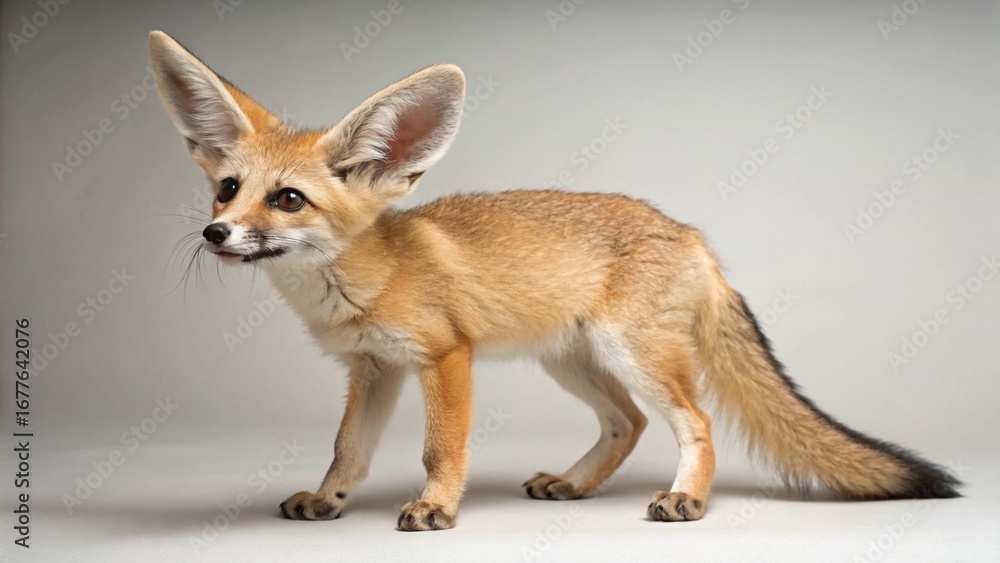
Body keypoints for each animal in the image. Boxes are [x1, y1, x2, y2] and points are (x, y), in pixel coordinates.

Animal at [148, 30, 960, 531]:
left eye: (288, 200)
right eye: (227, 190)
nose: (215, 234)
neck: (364, 281)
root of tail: (691, 233)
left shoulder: (445, 357)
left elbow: (440, 451)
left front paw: (437, 508)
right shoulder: (373, 369)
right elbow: (348, 450)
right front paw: (328, 501)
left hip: (635, 356)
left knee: (693, 424)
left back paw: (684, 498)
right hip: (572, 362)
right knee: (628, 424)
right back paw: (576, 484)